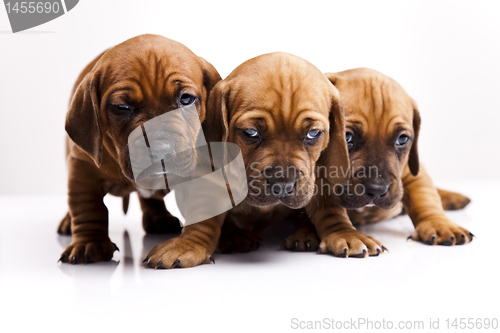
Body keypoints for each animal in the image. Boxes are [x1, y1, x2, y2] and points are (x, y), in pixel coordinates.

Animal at [57, 33, 220, 262]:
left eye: (186, 99)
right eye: (122, 107)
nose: (160, 148)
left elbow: (203, 207)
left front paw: (187, 246)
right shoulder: (82, 167)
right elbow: (87, 207)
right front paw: (89, 243)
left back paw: (159, 218)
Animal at [143, 53, 350, 268]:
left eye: (313, 134)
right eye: (251, 132)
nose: (283, 185)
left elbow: (330, 209)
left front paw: (343, 233)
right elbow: (203, 214)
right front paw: (188, 243)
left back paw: (304, 234)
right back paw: (233, 236)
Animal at [294, 66, 474, 255]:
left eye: (402, 139)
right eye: (347, 137)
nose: (377, 189)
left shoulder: (412, 172)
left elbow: (425, 197)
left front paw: (439, 224)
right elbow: (330, 212)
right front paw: (346, 233)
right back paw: (304, 234)